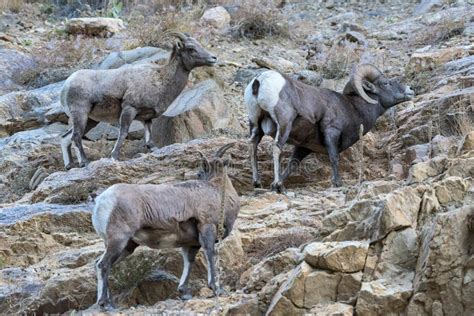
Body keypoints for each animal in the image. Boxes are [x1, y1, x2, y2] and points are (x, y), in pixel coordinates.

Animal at [59, 32, 217, 169]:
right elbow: (123, 133)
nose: (213, 58)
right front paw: (114, 157)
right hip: (81, 114)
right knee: (76, 137)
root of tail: (67, 84)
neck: (160, 80)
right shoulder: (130, 109)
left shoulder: (146, 118)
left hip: (91, 120)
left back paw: (70, 165)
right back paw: (85, 162)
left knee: (66, 138)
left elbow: (149, 140)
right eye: (191, 49)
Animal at [91, 144, 241, 312]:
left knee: (101, 263)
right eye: (199, 173)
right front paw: (216, 288)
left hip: (126, 246)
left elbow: (189, 261)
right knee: (103, 265)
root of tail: (100, 200)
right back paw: (106, 304)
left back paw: (108, 303)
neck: (219, 192)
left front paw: (184, 293)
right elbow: (210, 254)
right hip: (118, 240)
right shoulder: (207, 228)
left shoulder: (191, 243)